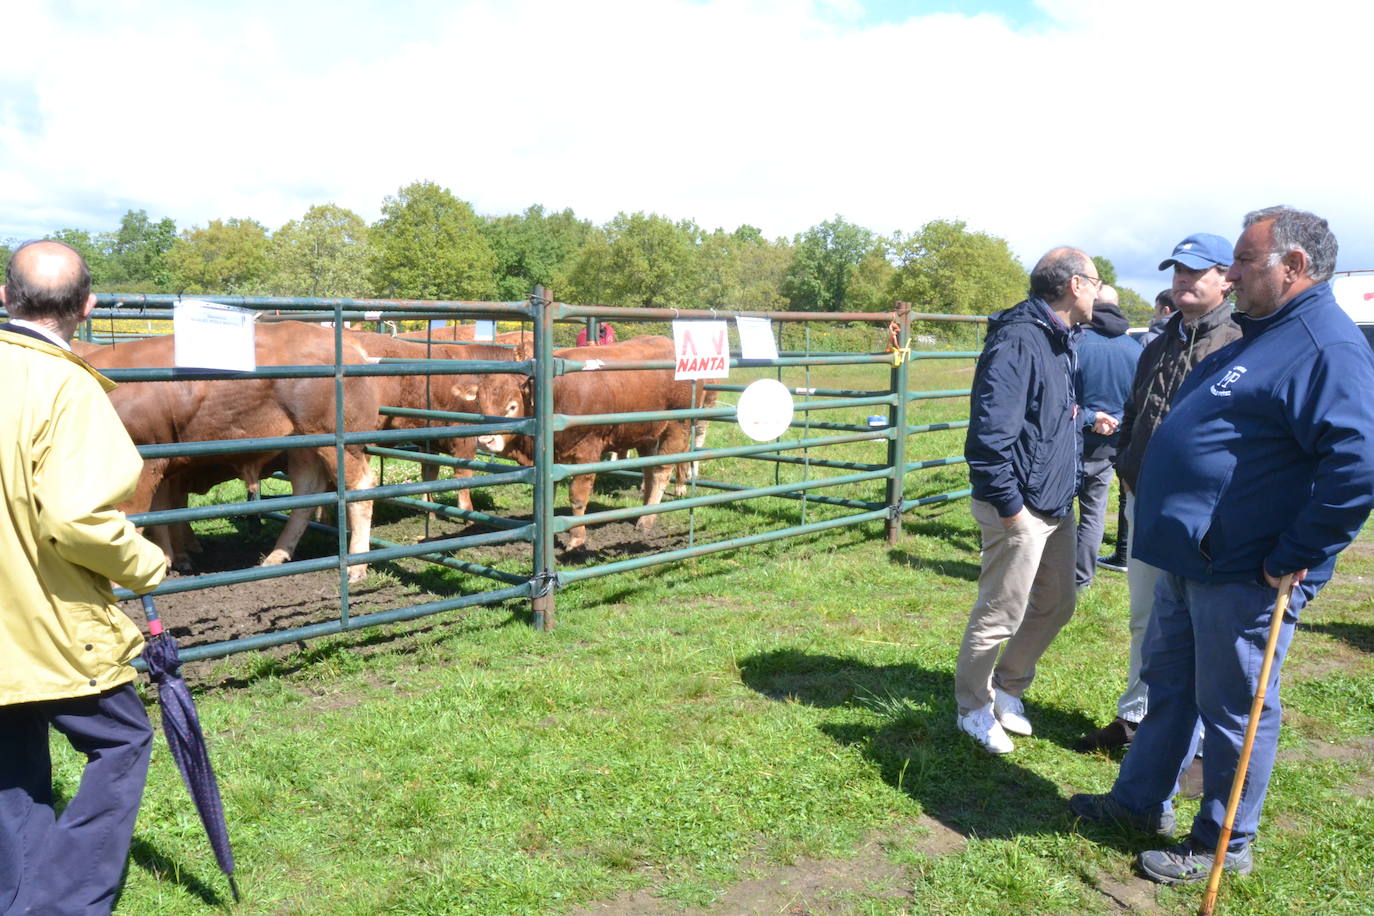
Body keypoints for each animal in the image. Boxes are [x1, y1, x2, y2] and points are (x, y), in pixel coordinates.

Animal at [86, 322, 379, 579]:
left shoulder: (144, 465)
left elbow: (133, 520)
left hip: (341, 443)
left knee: (360, 487)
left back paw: (356, 566)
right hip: (304, 445)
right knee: (308, 492)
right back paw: (276, 556)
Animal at [478, 336, 708, 552]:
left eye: (512, 406)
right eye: (481, 403)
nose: (484, 441)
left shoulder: (587, 451)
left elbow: (578, 496)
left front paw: (577, 538)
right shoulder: (552, 456)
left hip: (678, 425)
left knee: (662, 471)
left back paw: (647, 520)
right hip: (646, 433)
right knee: (649, 471)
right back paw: (643, 511)